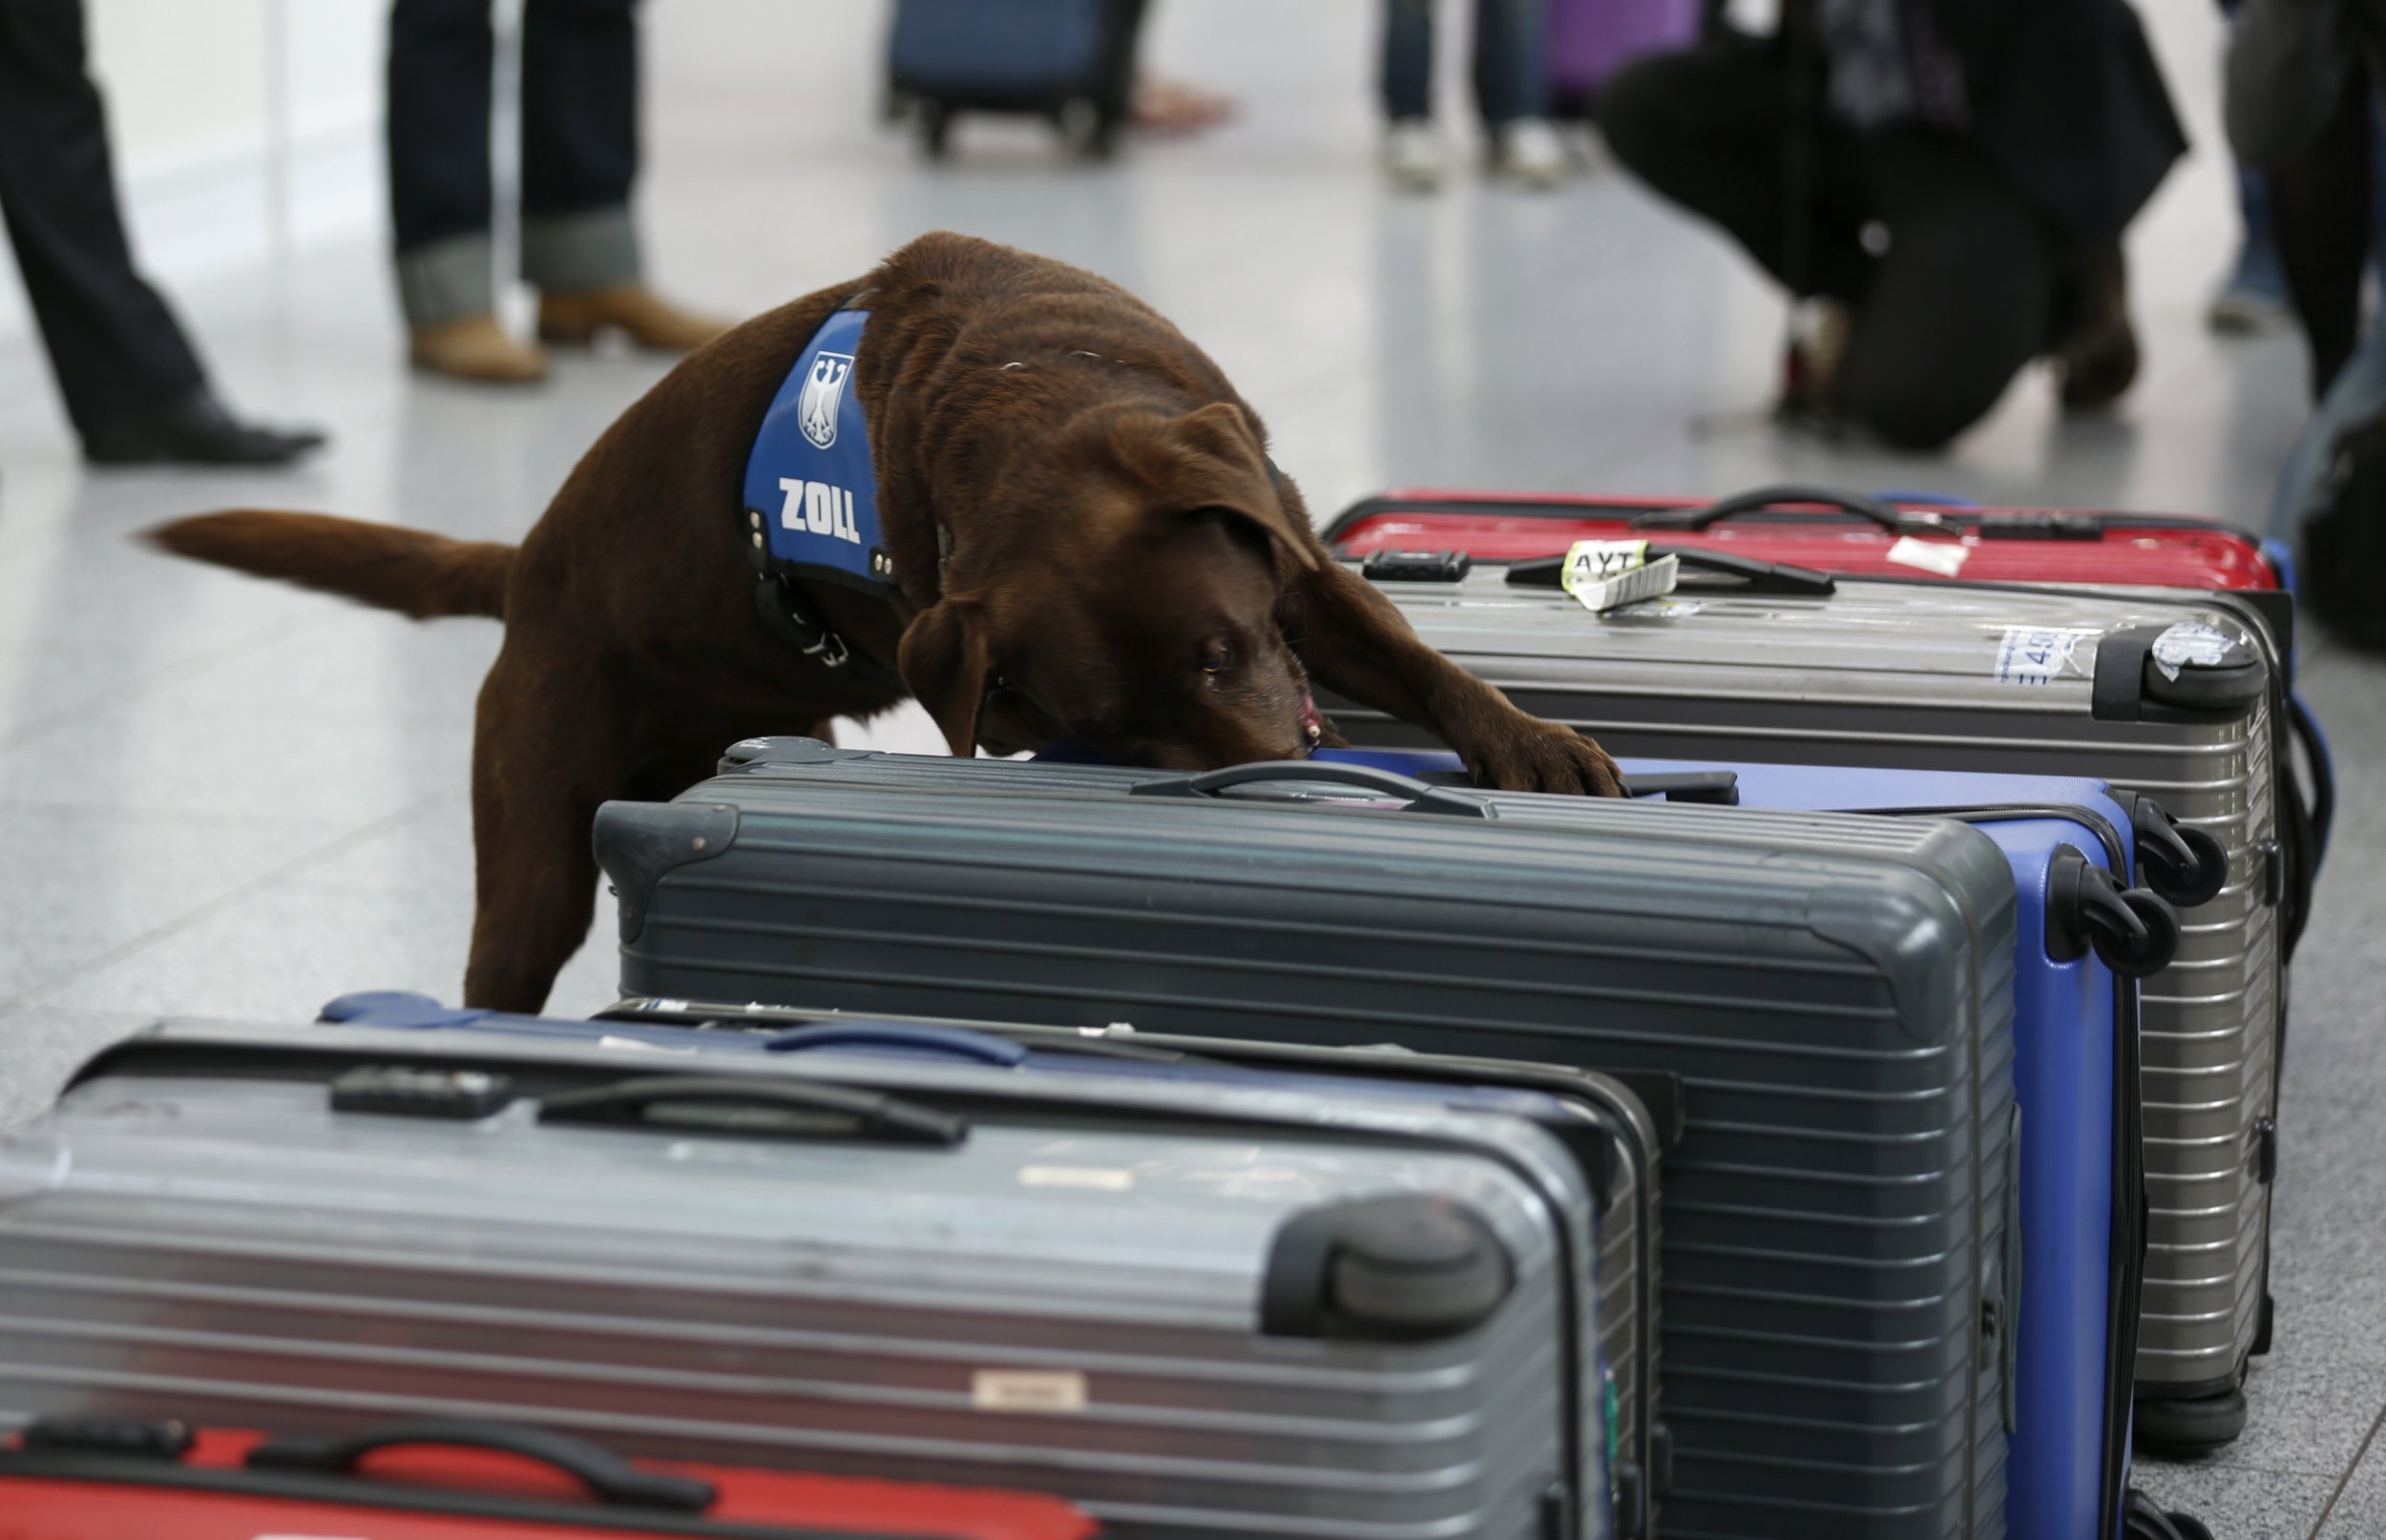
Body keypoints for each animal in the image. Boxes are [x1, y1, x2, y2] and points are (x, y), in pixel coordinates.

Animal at [139, 232, 1613, 1015]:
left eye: (1219, 650)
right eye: (1109, 731)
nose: (1269, 787)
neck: (1036, 394)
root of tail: (528, 567)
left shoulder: (1292, 561)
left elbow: (1418, 655)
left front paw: (1536, 748)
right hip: (537, 842)